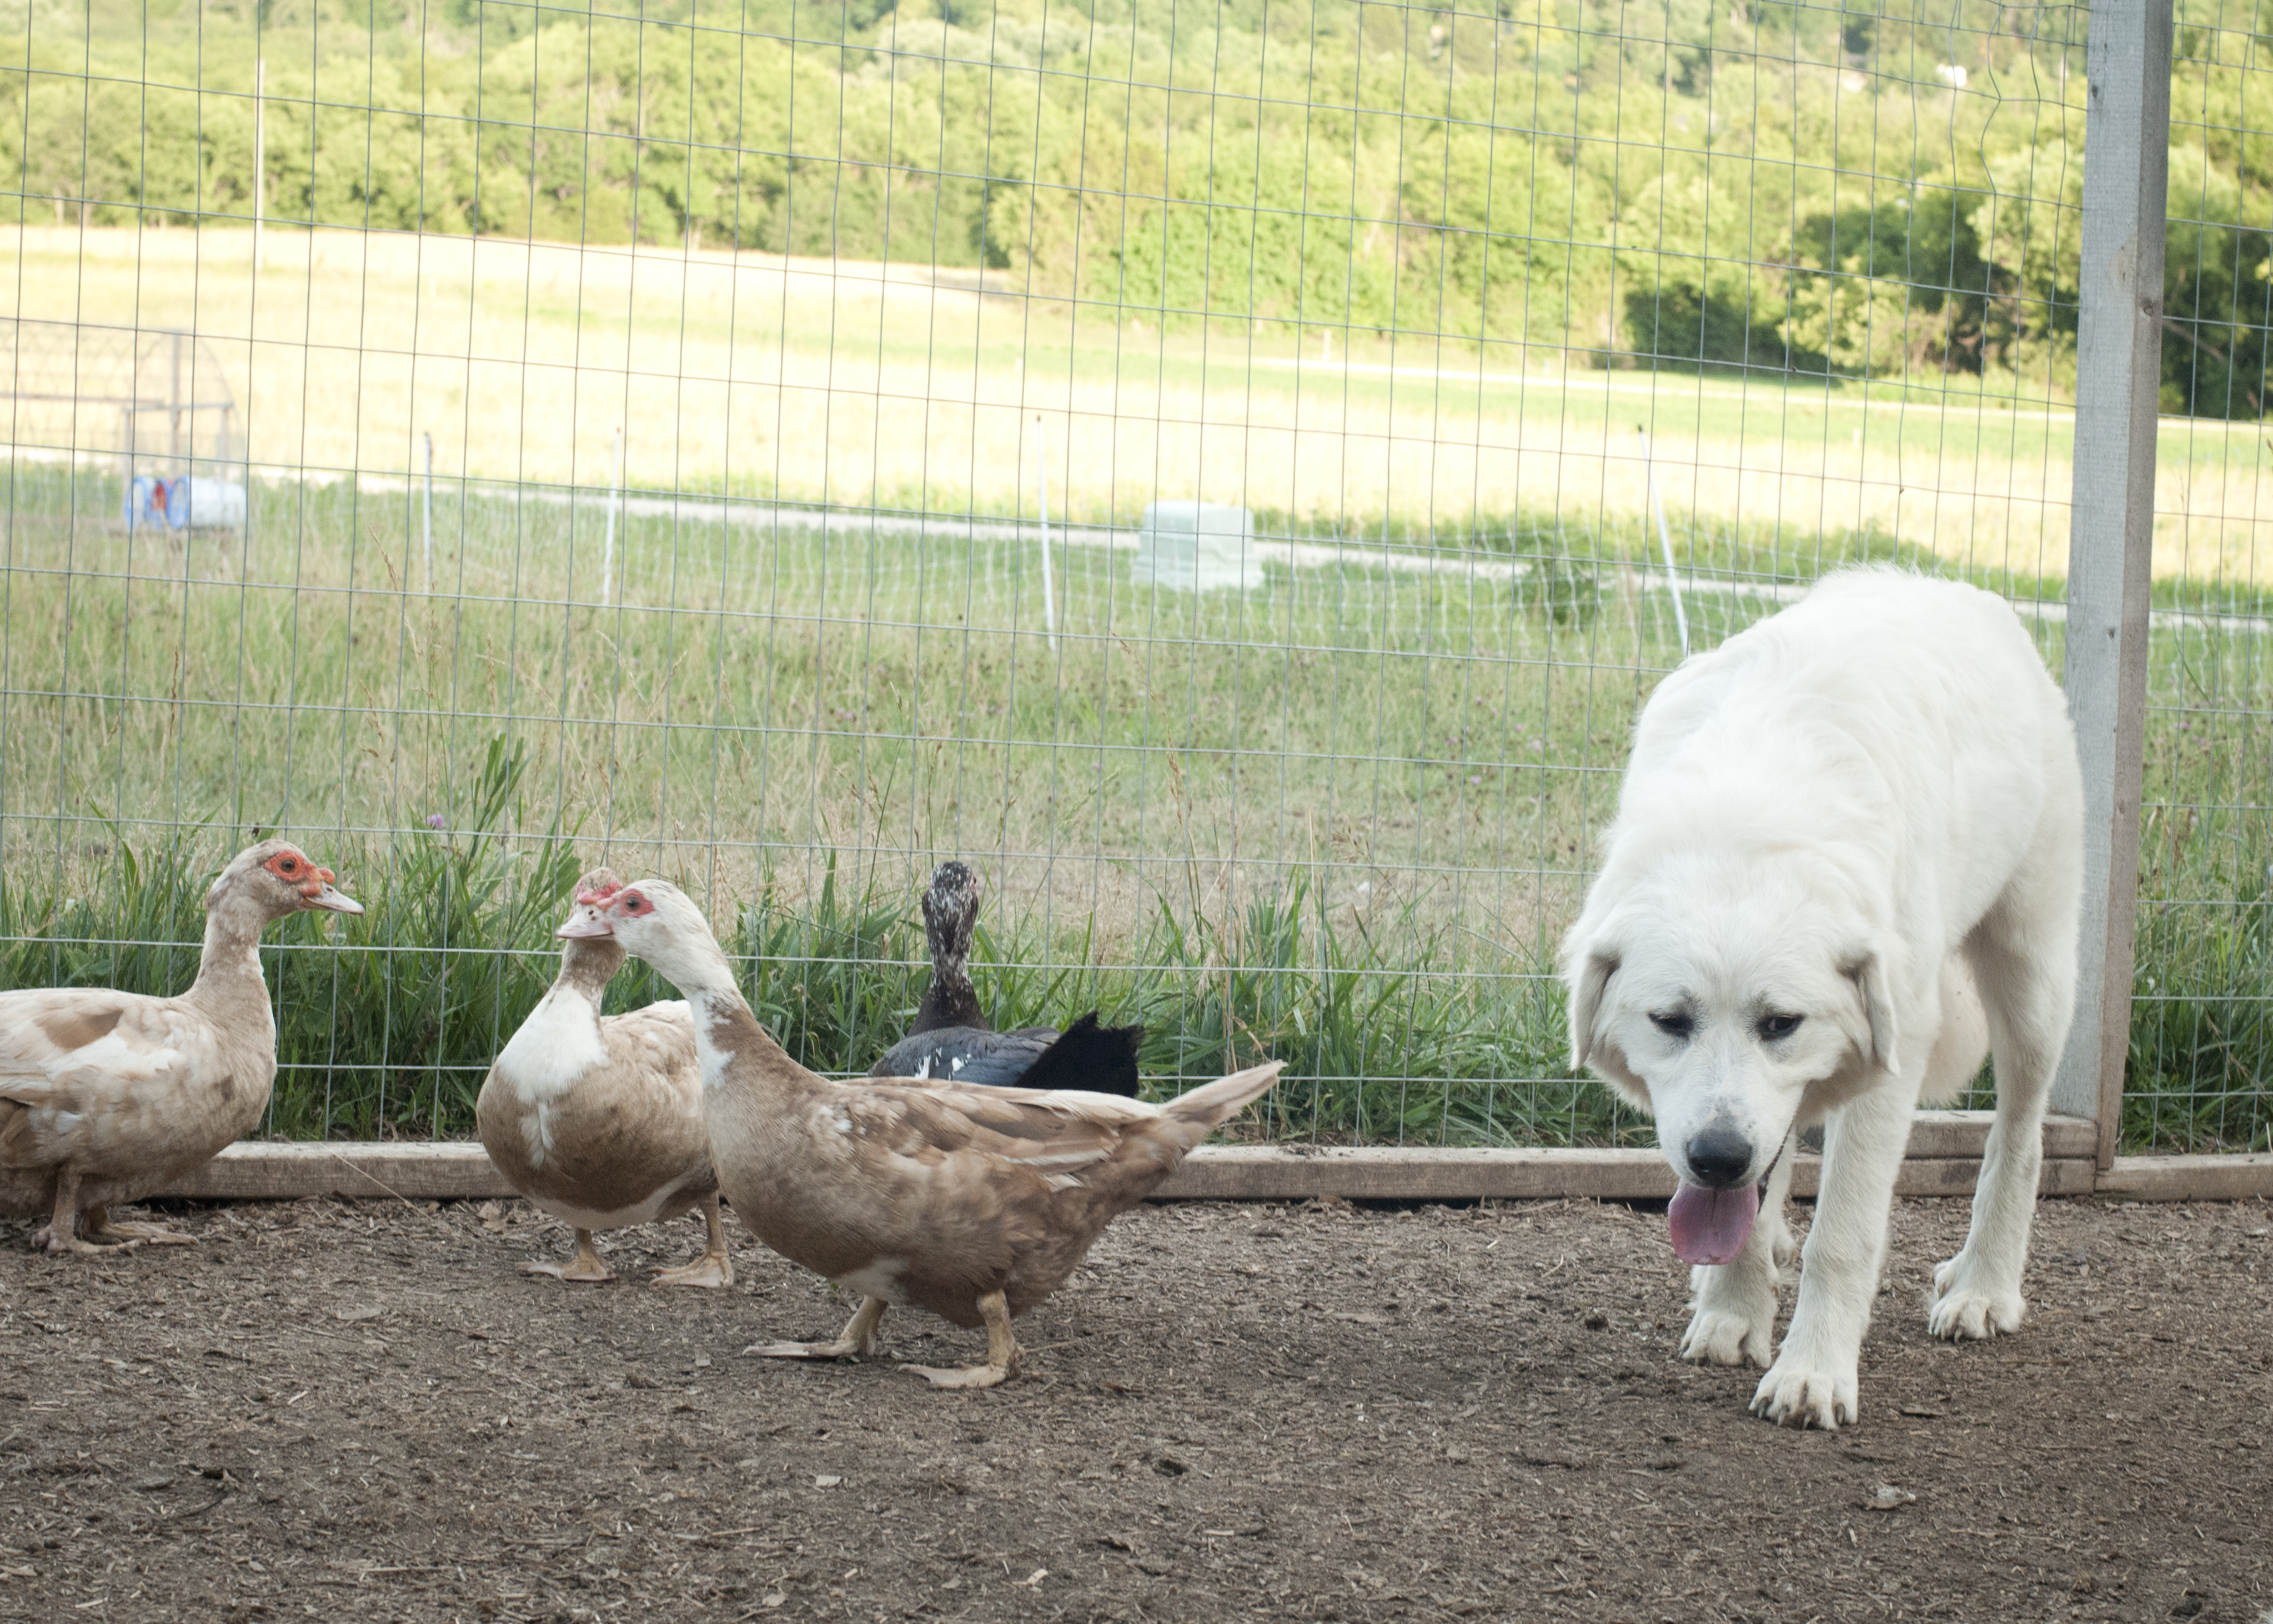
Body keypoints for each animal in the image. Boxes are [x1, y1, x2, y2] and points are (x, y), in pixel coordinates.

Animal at [1562, 567, 2082, 1429]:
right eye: (1670, 1021)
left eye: (1781, 1022)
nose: (1715, 1155)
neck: (1746, 822)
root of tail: (1948, 585)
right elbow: (1755, 1202)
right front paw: (1734, 1313)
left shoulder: (1889, 1068)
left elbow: (1840, 1239)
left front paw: (1812, 1375)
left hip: (2031, 981)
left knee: (2021, 1136)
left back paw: (1983, 1285)